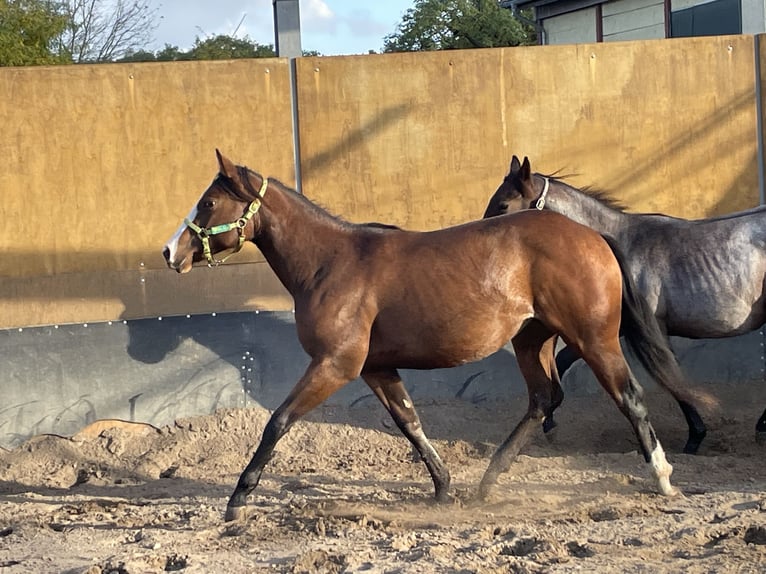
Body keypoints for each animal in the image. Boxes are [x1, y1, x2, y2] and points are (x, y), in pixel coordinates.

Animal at [160, 151, 708, 524]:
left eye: (209, 202)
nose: (170, 252)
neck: (331, 263)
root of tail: (593, 236)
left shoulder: (335, 364)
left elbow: (278, 421)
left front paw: (238, 497)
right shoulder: (375, 367)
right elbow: (410, 423)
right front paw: (444, 488)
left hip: (594, 339)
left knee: (628, 397)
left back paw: (663, 479)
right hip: (532, 341)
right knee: (543, 399)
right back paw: (486, 482)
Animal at [486, 156, 766, 454]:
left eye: (503, 205)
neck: (622, 246)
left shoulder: (647, 329)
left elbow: (671, 376)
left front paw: (695, 437)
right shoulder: (614, 329)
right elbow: (563, 361)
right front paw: (550, 424)